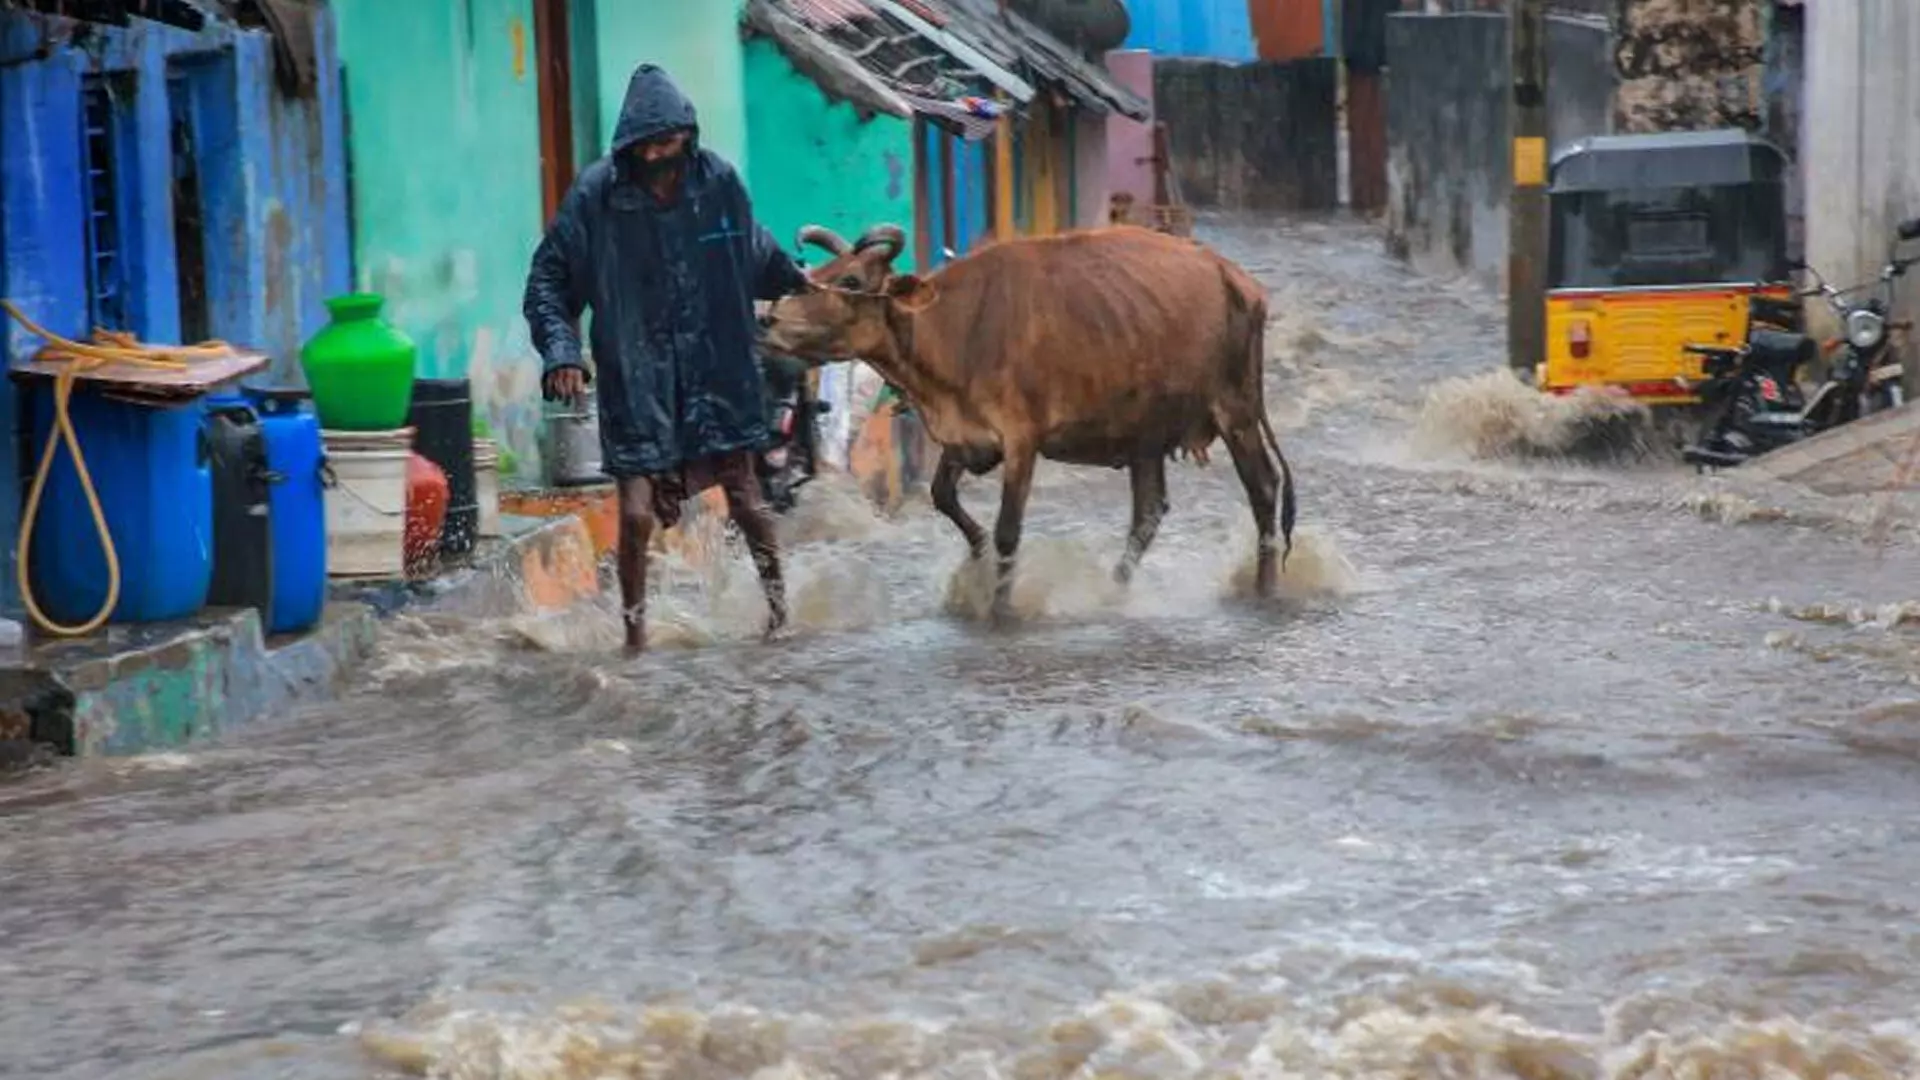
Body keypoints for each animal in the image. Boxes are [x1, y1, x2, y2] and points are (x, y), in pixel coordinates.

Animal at [756, 222, 1297, 618]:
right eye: (820, 269)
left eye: (850, 281)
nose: (768, 320)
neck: (952, 327)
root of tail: (1235, 277)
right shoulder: (962, 438)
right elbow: (943, 497)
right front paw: (974, 563)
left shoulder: (1022, 441)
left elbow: (1007, 531)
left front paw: (1000, 607)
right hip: (1145, 436)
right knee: (1147, 514)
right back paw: (1114, 591)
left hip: (1236, 411)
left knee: (1263, 489)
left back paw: (1265, 589)